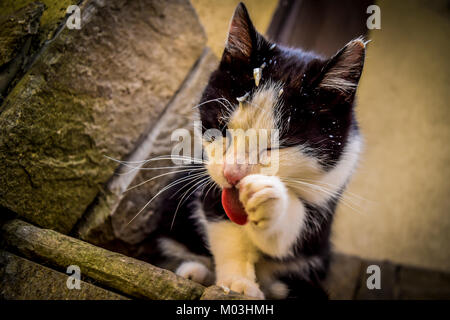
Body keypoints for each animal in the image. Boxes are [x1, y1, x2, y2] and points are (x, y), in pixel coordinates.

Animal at [148, 1, 366, 298]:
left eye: (278, 145)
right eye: (222, 129)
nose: (232, 173)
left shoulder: (337, 175)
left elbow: (292, 235)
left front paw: (270, 201)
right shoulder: (211, 176)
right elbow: (223, 222)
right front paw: (237, 283)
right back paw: (194, 270)